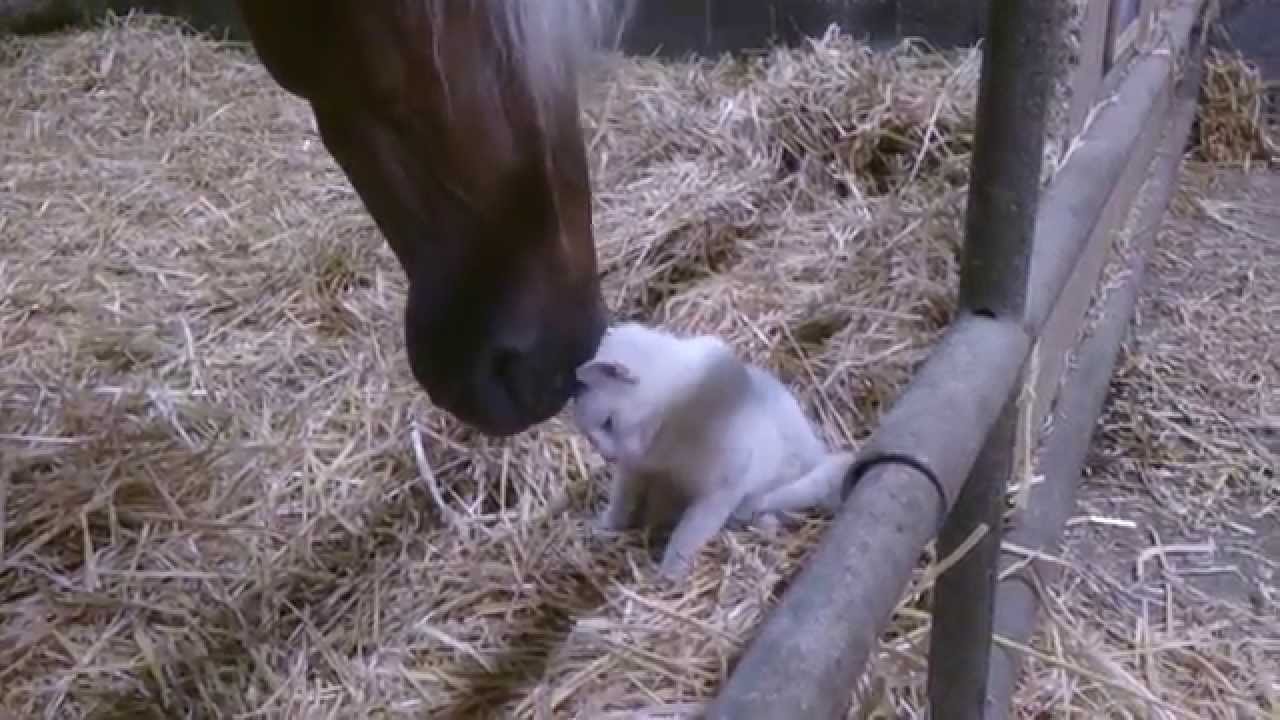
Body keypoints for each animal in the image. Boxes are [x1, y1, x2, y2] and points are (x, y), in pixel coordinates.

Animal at [570, 322, 849, 579]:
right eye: (588, 437)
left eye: (608, 423)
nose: (608, 456)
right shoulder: (633, 471)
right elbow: (621, 503)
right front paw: (605, 527)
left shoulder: (720, 490)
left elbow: (688, 535)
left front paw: (668, 576)